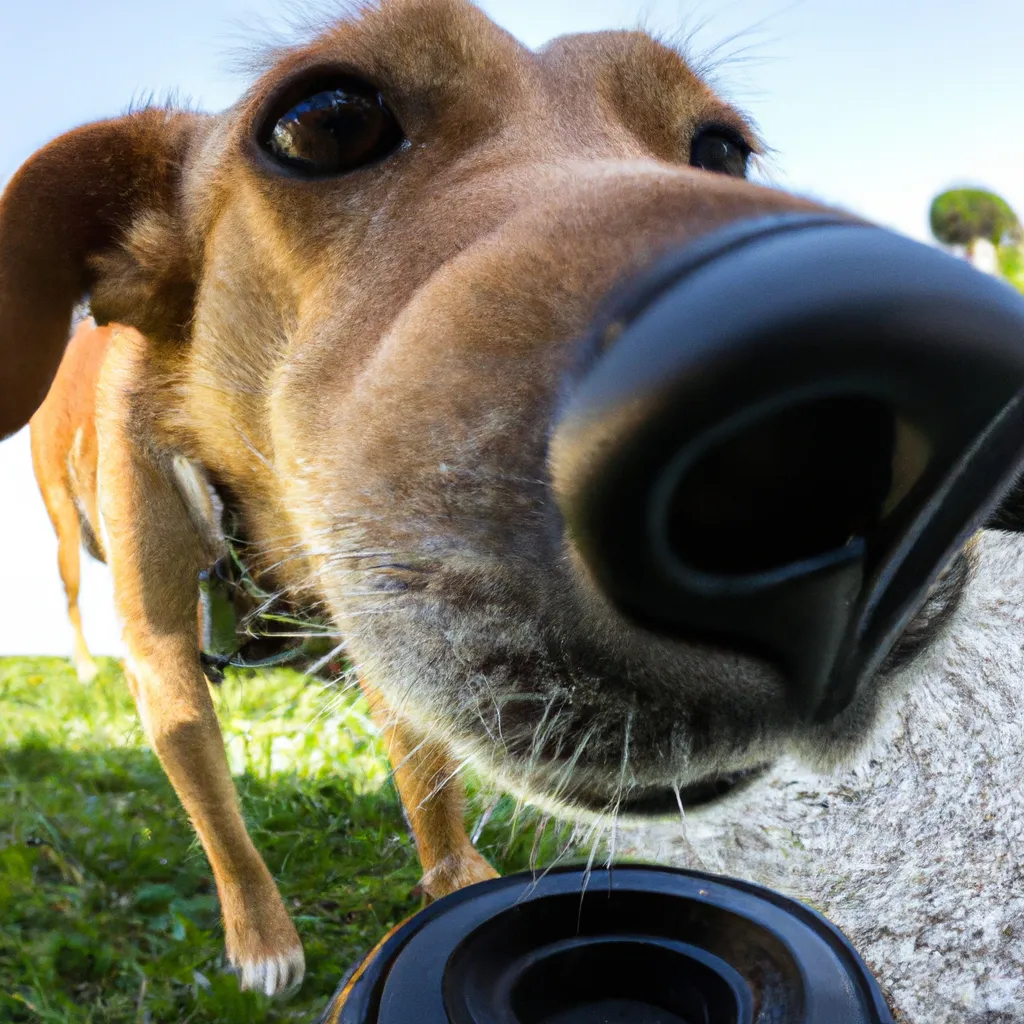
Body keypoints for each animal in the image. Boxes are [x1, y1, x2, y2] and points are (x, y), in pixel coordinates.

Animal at [0, 0, 978, 995]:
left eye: (722, 150)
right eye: (326, 121)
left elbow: (429, 774)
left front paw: (456, 876)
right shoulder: (164, 663)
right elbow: (220, 819)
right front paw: (262, 936)